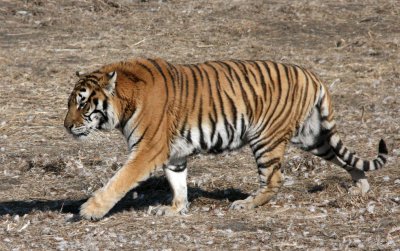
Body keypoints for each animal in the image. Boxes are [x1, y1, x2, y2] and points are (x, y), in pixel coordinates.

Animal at [64, 57, 390, 220]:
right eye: (70, 103)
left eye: (82, 104)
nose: (66, 126)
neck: (126, 100)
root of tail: (312, 75)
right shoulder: (173, 153)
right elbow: (178, 183)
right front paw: (175, 209)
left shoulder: (148, 150)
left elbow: (119, 180)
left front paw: (89, 211)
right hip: (313, 136)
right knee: (344, 157)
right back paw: (360, 187)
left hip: (266, 138)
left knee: (274, 179)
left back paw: (246, 204)